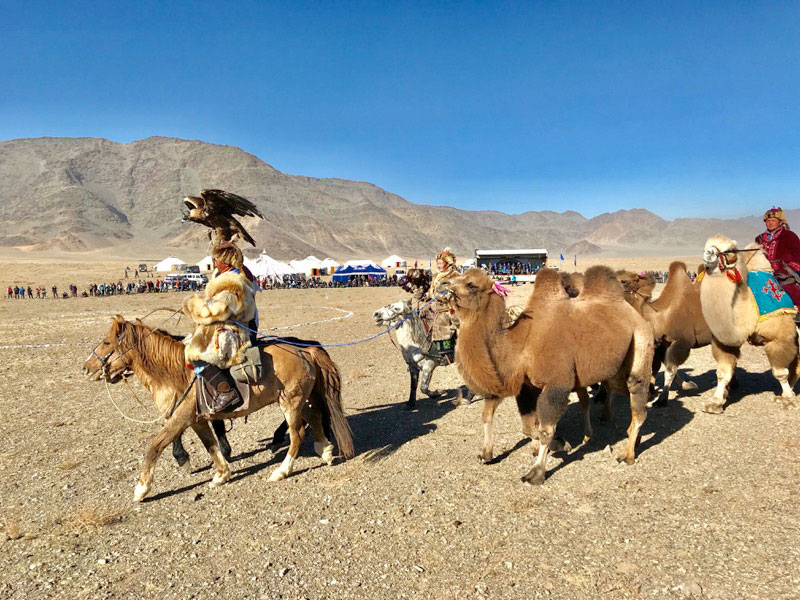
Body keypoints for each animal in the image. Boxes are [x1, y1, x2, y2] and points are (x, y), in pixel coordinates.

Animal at [83, 316, 354, 504]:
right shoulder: (197, 420)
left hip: (291, 401)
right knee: (315, 419)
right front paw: (221, 475)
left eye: (107, 342)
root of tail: (305, 349)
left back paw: (282, 471)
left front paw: (141, 489)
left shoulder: (180, 418)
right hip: (299, 400)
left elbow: (155, 446)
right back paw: (325, 451)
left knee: (297, 434)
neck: (174, 372)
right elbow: (211, 445)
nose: (86, 367)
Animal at [446, 266, 652, 482]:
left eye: (471, 284)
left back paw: (627, 455)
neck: (521, 344)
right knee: (612, 393)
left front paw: (537, 471)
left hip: (640, 340)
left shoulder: (556, 383)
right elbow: (525, 426)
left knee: (637, 394)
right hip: (612, 368)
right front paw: (487, 455)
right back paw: (616, 437)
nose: (446, 285)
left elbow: (545, 430)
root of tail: (635, 313)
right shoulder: (526, 386)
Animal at [616, 262, 708, 406]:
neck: (660, 317)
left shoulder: (682, 342)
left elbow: (670, 369)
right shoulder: (662, 344)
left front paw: (662, 398)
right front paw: (686, 385)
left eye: (624, 281)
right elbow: (666, 367)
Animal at [696, 234, 796, 412]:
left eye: (729, 250)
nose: (708, 254)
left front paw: (788, 400)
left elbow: (779, 372)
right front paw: (715, 403)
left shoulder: (779, 337)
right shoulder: (724, 343)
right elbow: (723, 372)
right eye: (706, 245)